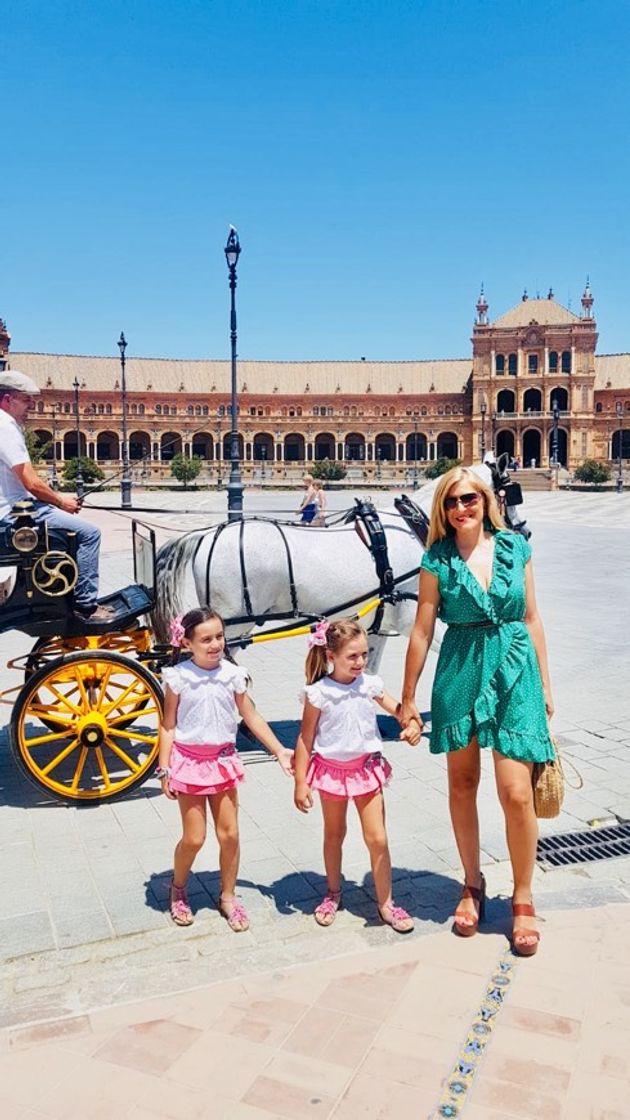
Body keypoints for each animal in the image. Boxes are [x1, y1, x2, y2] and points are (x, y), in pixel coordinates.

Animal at [152, 461, 524, 667]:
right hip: (225, 627)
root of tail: (205, 534)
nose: (524, 530)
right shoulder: (413, 619)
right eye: (511, 492)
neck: (412, 525)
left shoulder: (380, 624)